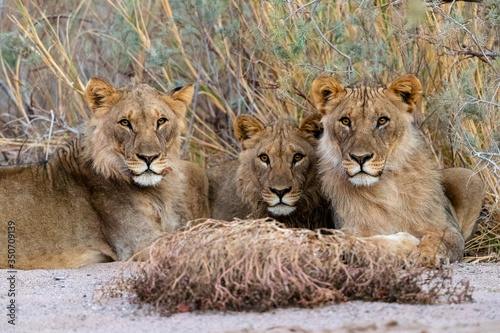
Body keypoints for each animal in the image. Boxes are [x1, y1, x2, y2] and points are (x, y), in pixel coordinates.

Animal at [312, 74, 484, 264]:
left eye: (382, 120)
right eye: (345, 121)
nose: (360, 158)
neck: (384, 184)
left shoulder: (448, 228)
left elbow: (441, 240)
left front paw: (425, 255)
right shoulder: (347, 232)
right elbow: (365, 245)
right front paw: (408, 243)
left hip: (469, 176)